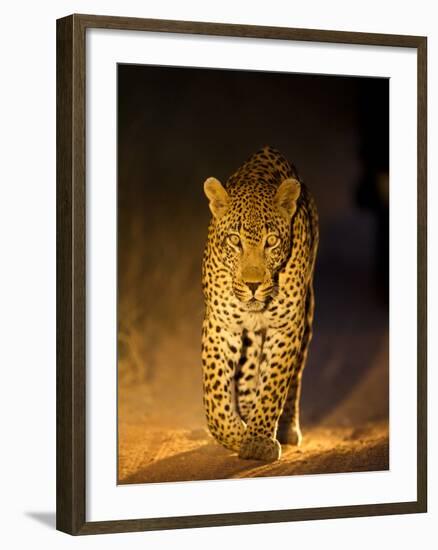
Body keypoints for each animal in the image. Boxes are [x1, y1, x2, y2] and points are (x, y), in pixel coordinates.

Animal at [201, 146, 318, 462]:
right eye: (234, 240)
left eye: (272, 241)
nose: (252, 284)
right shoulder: (221, 325)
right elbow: (215, 395)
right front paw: (235, 434)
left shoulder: (286, 327)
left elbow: (274, 386)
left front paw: (257, 441)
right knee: (248, 372)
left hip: (307, 315)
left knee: (295, 378)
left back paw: (287, 428)